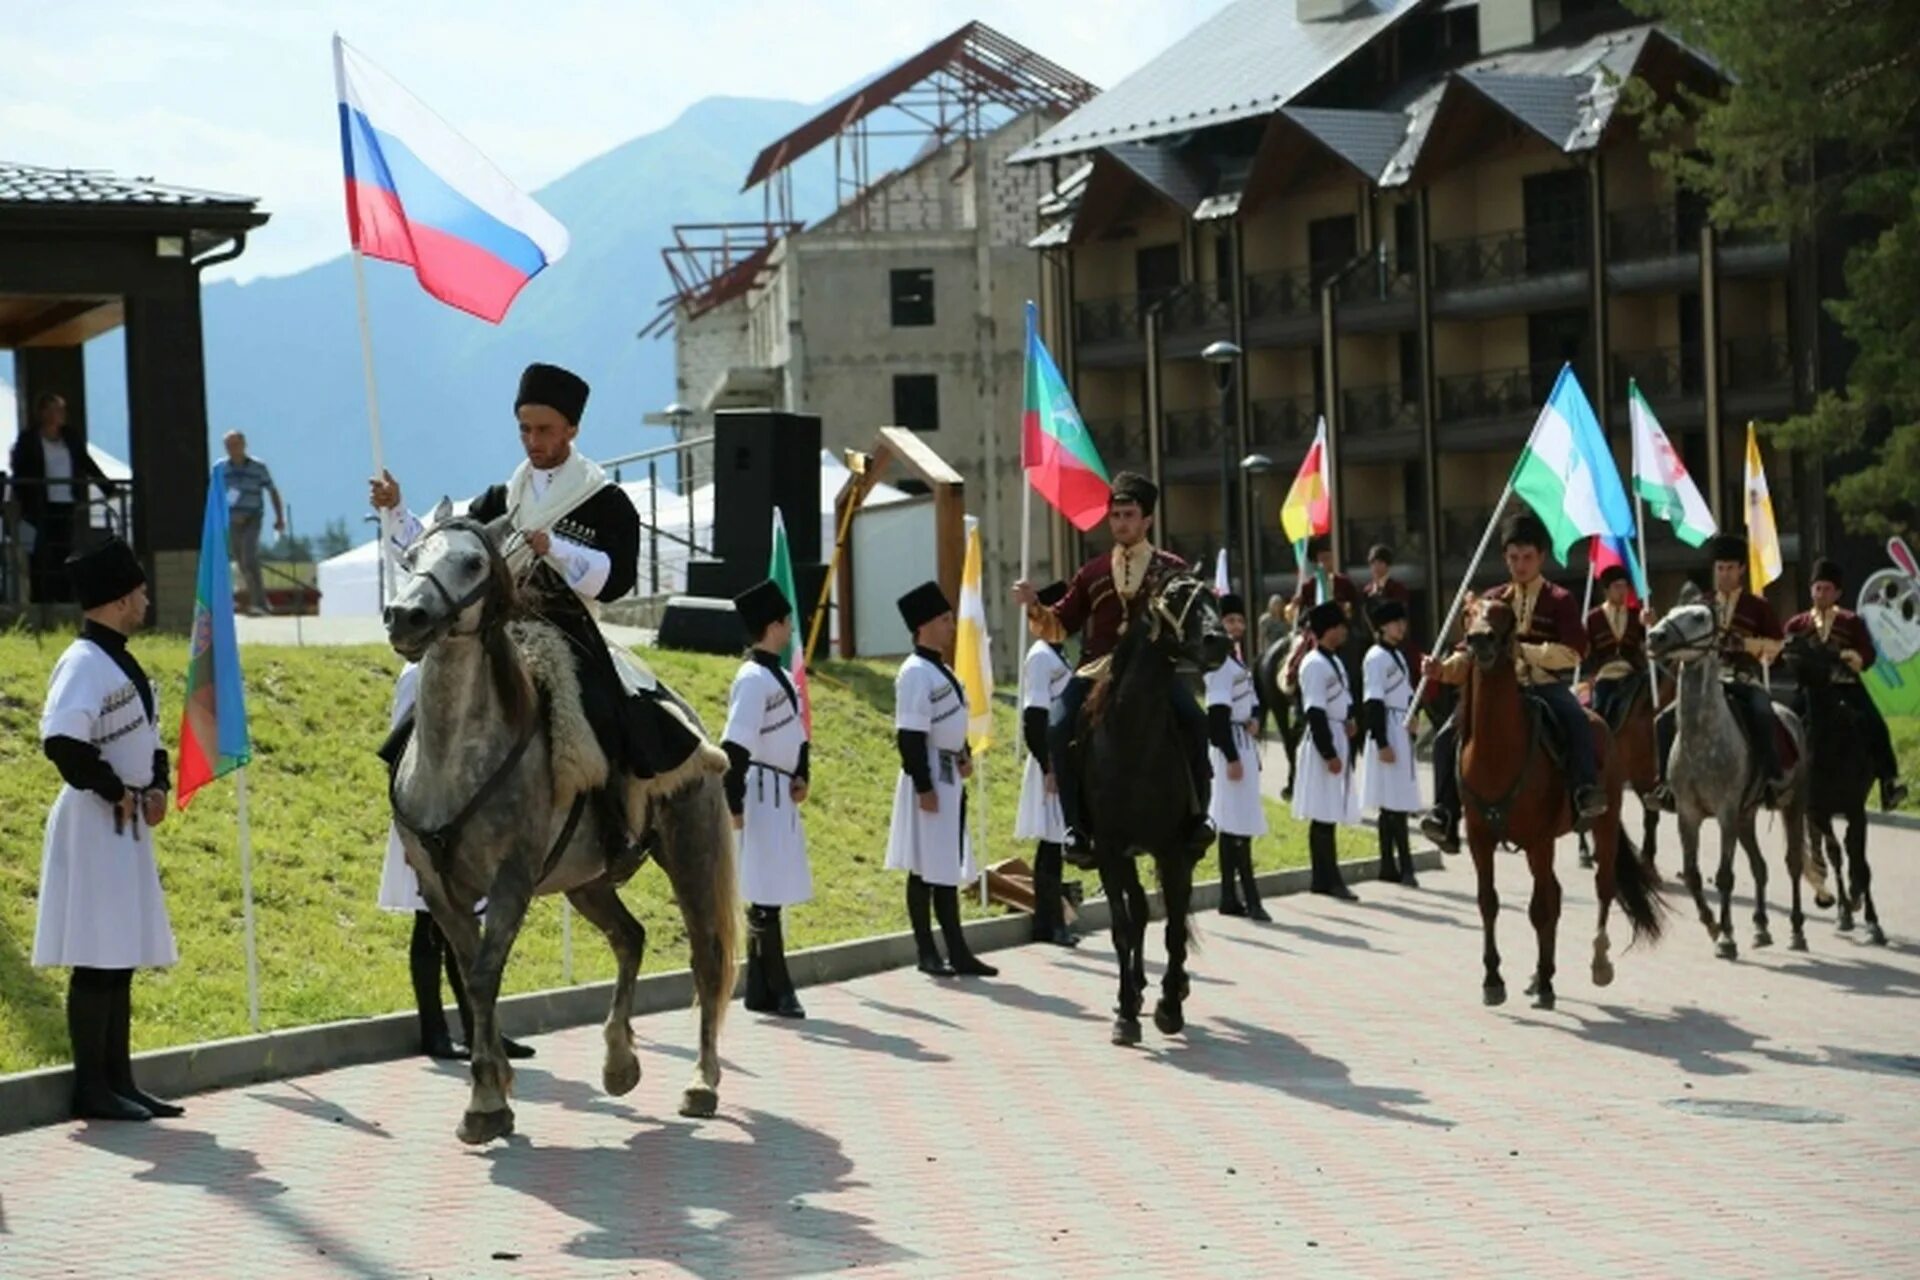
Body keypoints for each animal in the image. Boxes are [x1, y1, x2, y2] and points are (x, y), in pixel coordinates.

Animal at [382, 506, 733, 1143]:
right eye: (411, 558)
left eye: (473, 562)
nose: (405, 615)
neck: (453, 760)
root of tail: (689, 717)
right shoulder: (440, 890)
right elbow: (472, 976)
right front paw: (495, 1088)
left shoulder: (512, 881)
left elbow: (483, 976)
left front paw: (484, 1101)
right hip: (586, 882)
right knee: (630, 937)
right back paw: (620, 1063)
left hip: (691, 852)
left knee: (707, 958)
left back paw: (702, 1083)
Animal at [1459, 602, 1658, 1013]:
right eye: (1468, 612)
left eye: (1502, 614)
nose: (1479, 639)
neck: (1496, 753)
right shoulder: (1479, 838)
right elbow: (1488, 902)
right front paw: (1493, 980)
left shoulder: (1539, 840)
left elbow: (1539, 909)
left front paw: (1547, 985)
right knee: (1557, 894)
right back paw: (1539, 975)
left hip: (1604, 823)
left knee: (1601, 888)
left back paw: (1597, 964)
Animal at [1643, 591, 1820, 959]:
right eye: (1671, 612)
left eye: (1698, 617)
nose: (1655, 636)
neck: (1703, 740)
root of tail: (1790, 716)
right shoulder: (1688, 813)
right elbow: (1693, 875)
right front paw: (1712, 924)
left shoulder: (1725, 812)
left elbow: (1724, 876)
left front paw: (1725, 937)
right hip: (1745, 816)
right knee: (1760, 866)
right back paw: (1761, 927)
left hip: (1791, 804)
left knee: (1793, 862)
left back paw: (1796, 931)